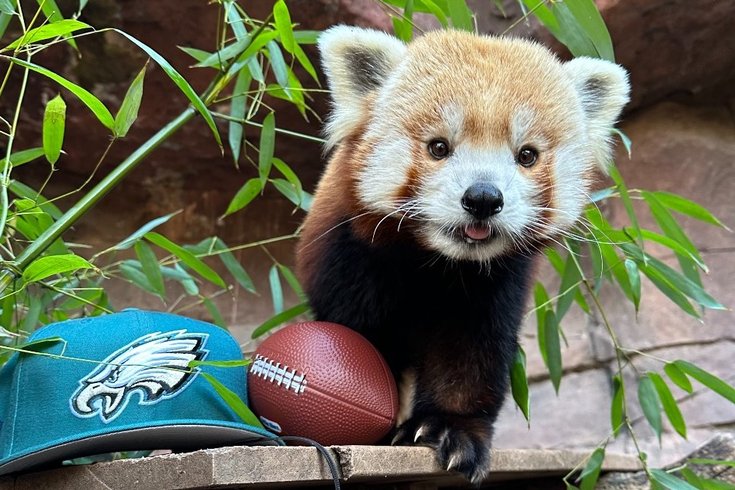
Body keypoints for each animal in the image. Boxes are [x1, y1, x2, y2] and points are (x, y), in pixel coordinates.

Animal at [296, 25, 630, 484]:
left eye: (526, 155)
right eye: (439, 147)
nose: (484, 198)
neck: (440, 262)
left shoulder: (494, 285)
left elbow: (471, 353)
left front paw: (451, 431)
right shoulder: (353, 264)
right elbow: (363, 340)